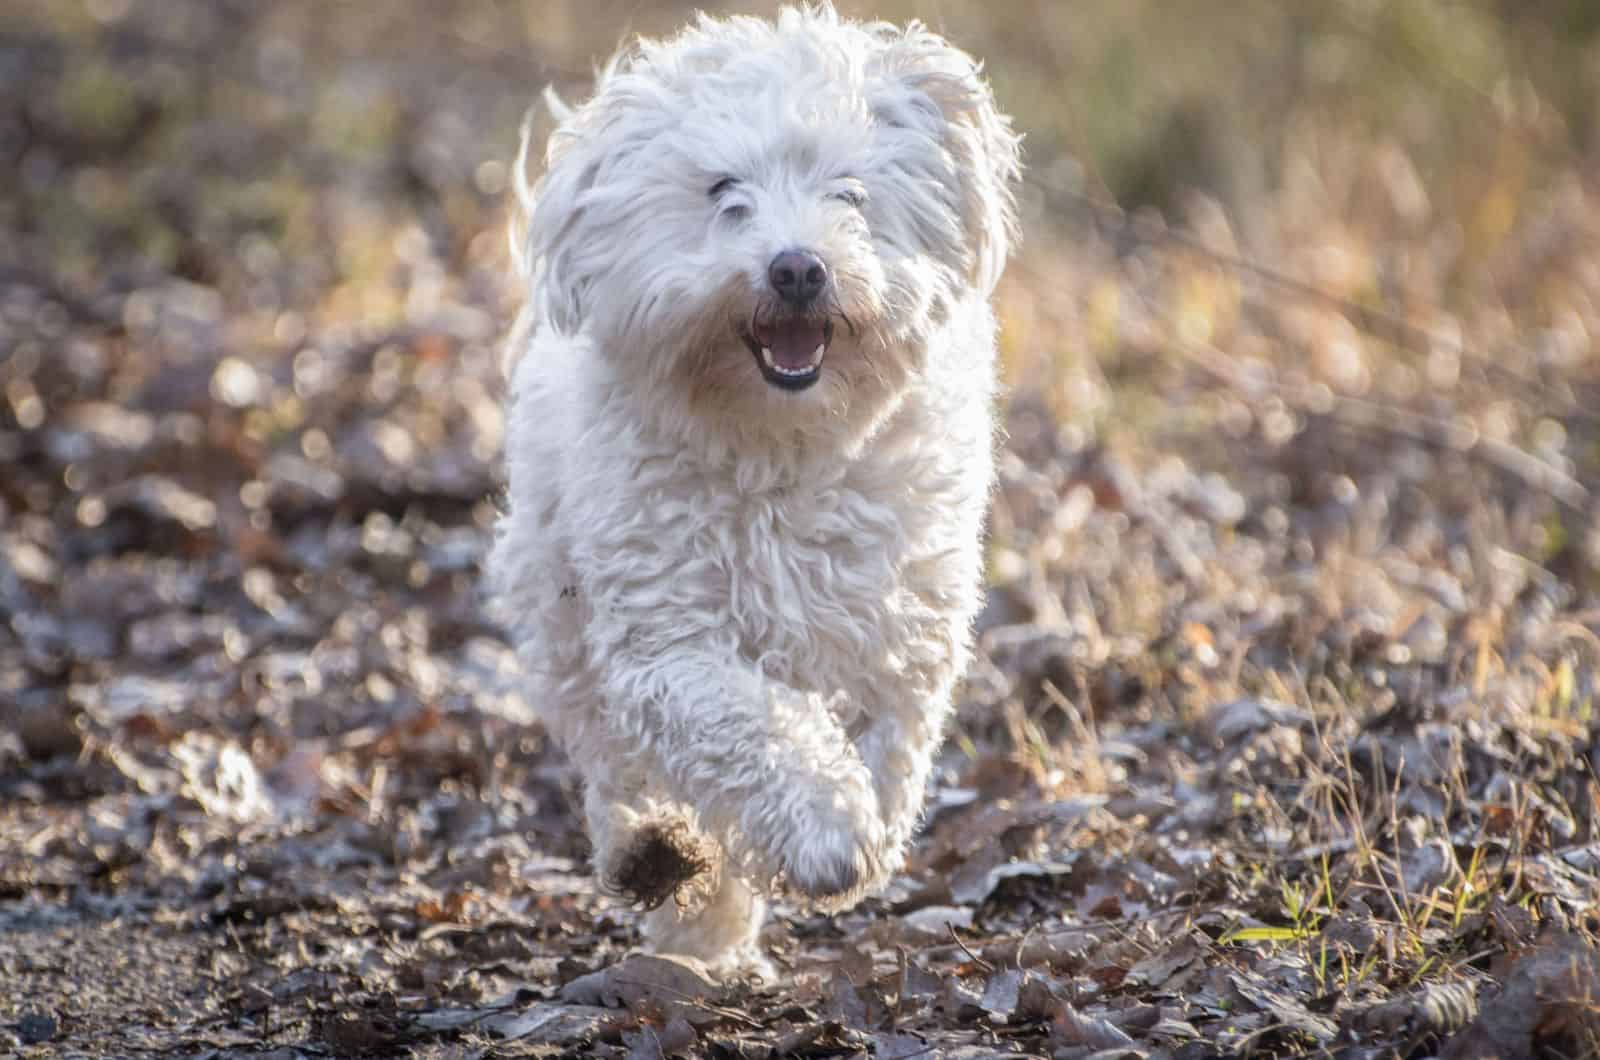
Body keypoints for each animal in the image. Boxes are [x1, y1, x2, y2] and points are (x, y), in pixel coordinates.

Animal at [483, 4, 1024, 986]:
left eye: (849, 192)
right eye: (723, 190)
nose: (798, 268)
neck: (781, 446)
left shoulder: (906, 624)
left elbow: (890, 744)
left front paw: (862, 823)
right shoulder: (668, 642)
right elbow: (751, 727)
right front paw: (824, 829)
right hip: (562, 612)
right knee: (618, 766)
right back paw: (666, 873)